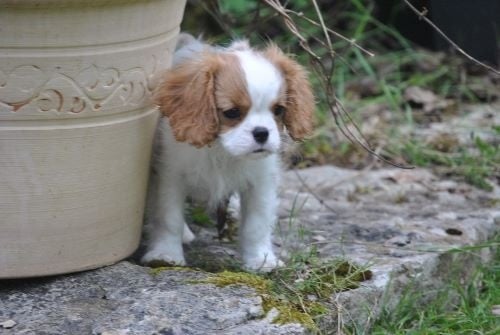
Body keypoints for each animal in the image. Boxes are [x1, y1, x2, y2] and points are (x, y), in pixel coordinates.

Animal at [142, 32, 312, 272]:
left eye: (278, 110)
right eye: (232, 113)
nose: (262, 133)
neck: (221, 150)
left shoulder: (260, 181)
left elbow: (256, 224)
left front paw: (261, 260)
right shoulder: (169, 176)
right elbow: (169, 218)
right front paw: (165, 254)